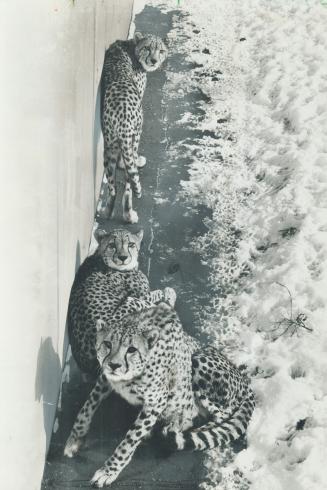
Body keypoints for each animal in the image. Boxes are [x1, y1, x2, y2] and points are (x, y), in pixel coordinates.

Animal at [64, 302, 256, 486]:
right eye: (107, 344)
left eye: (132, 349)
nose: (114, 365)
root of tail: (245, 381)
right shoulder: (106, 379)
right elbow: (87, 406)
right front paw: (75, 439)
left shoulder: (156, 401)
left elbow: (129, 440)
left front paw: (109, 470)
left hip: (197, 360)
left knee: (217, 416)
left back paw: (181, 431)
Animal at [68, 228, 177, 378]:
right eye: (112, 245)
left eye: (131, 244)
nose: (123, 257)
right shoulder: (140, 296)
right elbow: (156, 294)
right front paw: (168, 293)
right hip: (132, 302)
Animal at [100, 34, 168, 224]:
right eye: (148, 48)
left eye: (161, 50)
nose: (154, 61)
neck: (132, 47)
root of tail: (121, 111)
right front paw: (136, 161)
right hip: (135, 134)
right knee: (129, 184)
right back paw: (129, 214)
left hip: (109, 145)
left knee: (113, 188)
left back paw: (107, 212)